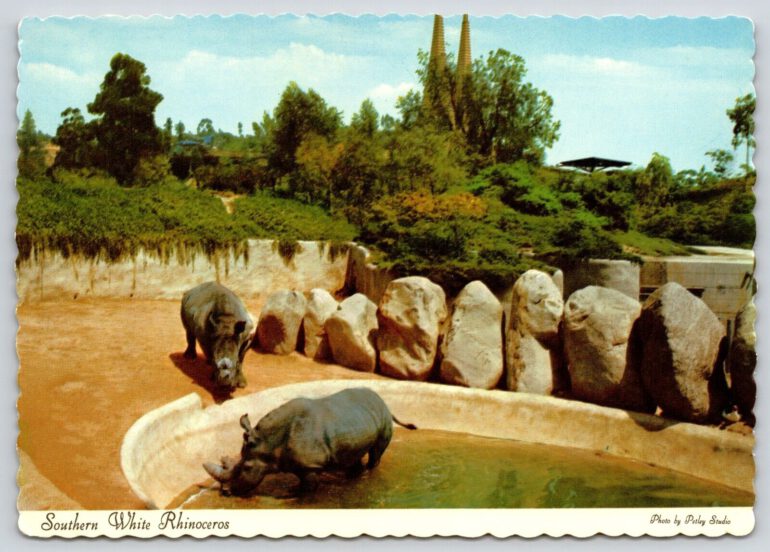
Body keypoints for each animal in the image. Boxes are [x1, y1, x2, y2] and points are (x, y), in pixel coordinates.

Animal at [203, 387, 416, 496]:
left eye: (246, 468)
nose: (225, 492)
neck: (269, 442)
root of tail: (384, 402)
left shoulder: (310, 466)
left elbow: (306, 492)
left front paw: (295, 496)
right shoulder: (298, 464)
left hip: (383, 417)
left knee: (375, 454)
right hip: (359, 418)